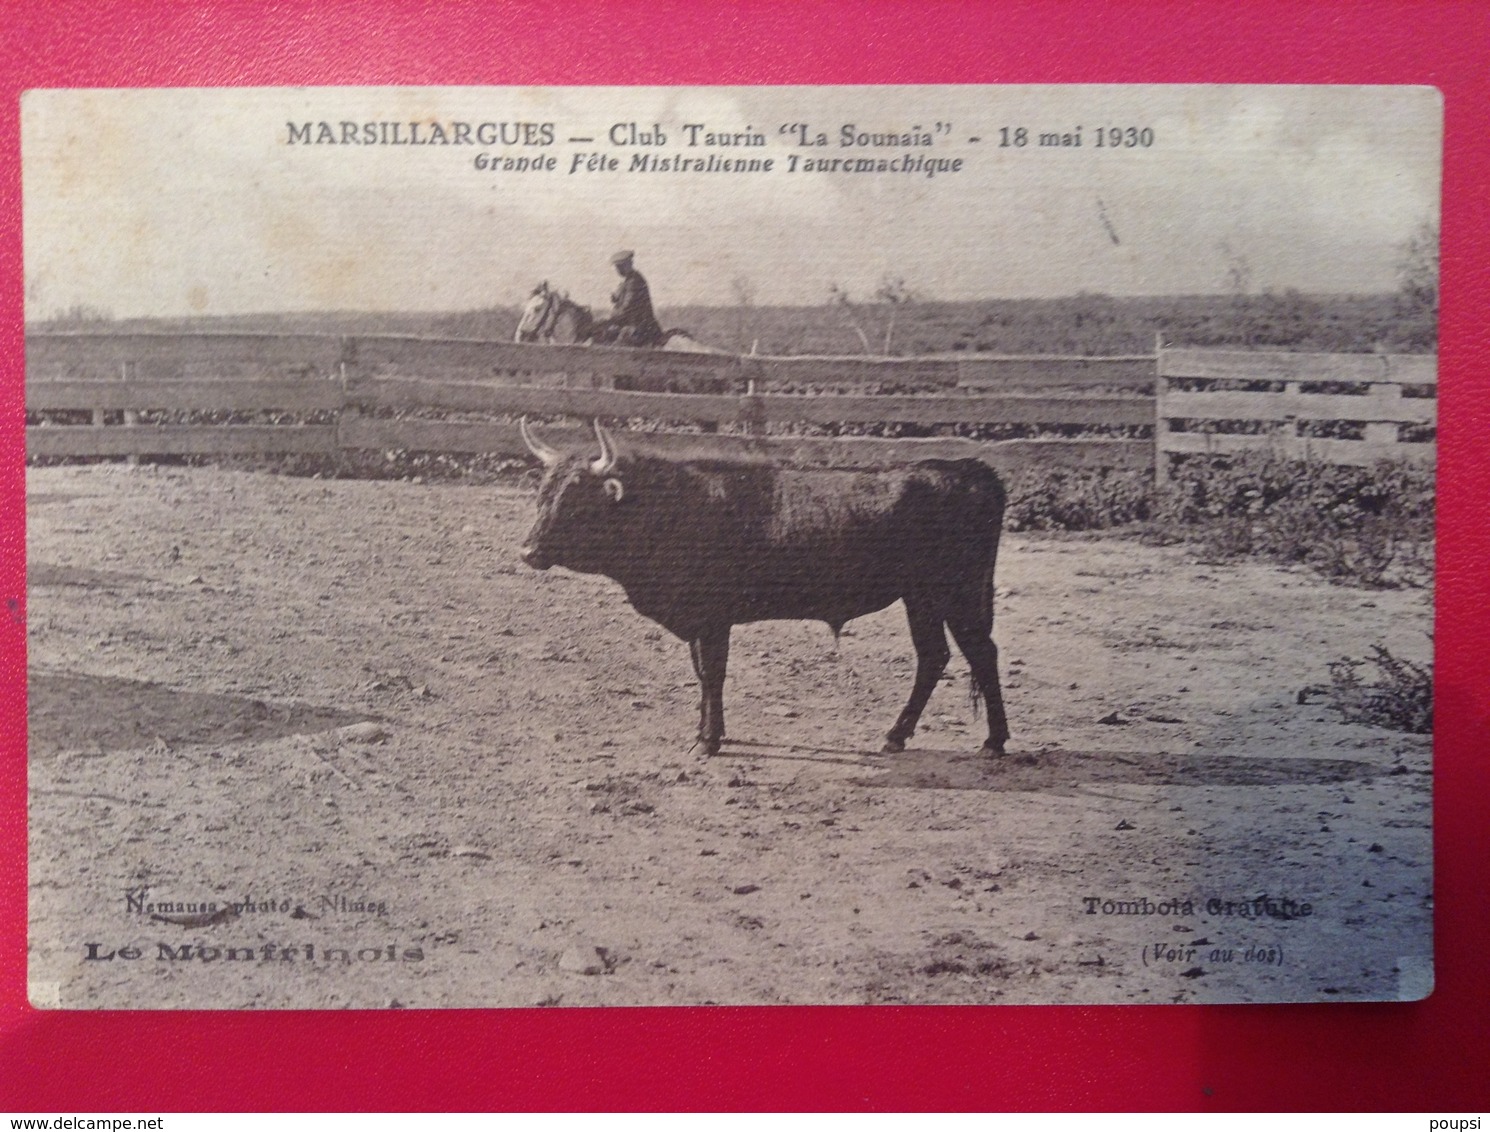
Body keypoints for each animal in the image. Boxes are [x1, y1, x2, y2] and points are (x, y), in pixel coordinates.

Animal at [515, 423, 1013, 759]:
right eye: (543, 496)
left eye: (577, 503)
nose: (528, 551)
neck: (673, 509)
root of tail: (966, 469)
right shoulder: (699, 621)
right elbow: (702, 674)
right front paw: (707, 731)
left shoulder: (713, 618)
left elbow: (713, 674)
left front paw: (708, 740)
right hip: (921, 597)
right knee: (934, 657)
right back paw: (896, 736)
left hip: (957, 592)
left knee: (981, 653)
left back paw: (994, 741)